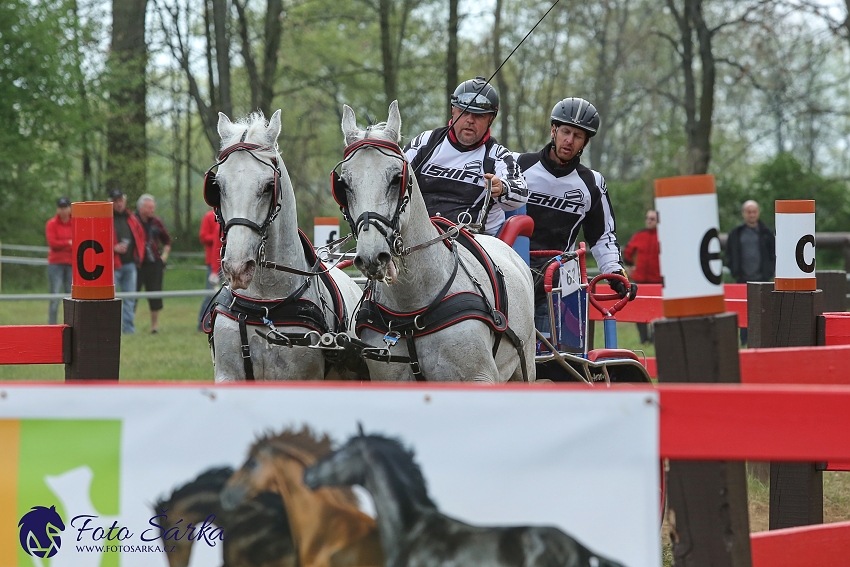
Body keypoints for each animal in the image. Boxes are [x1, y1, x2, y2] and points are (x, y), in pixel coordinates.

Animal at [334, 102, 532, 386]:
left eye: (396, 178)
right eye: (343, 184)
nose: (373, 257)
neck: (412, 308)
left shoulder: (479, 377)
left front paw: (497, 184)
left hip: (524, 366)